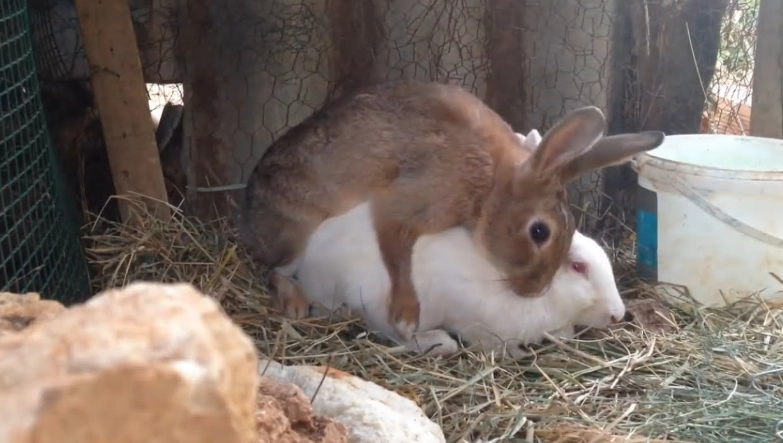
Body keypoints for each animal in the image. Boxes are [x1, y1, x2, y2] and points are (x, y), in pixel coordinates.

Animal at [237, 79, 663, 340]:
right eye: (539, 232)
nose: (535, 291)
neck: (490, 183)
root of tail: (246, 218)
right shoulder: (403, 207)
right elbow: (398, 259)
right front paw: (406, 314)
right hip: (297, 231)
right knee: (273, 269)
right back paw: (295, 303)